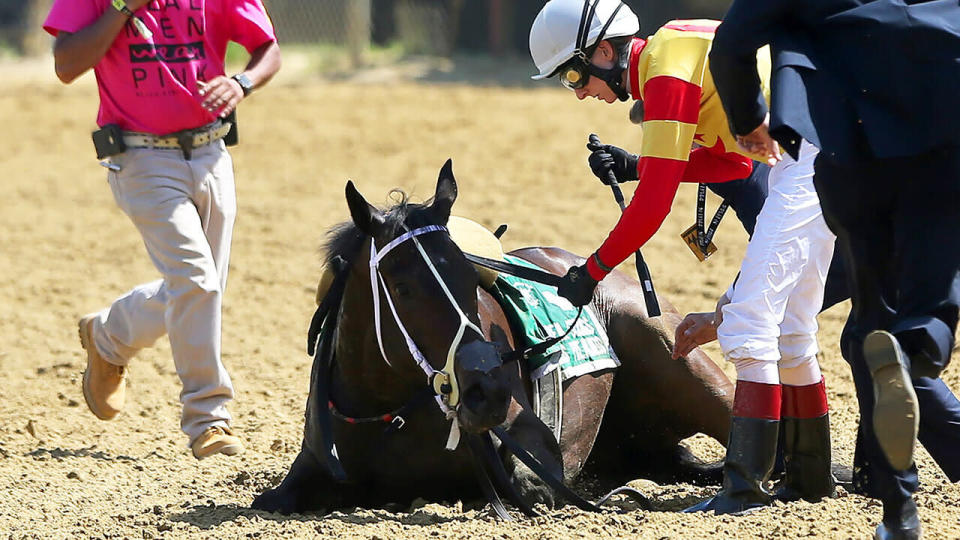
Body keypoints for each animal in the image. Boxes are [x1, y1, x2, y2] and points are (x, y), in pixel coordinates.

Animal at [251, 161, 732, 516]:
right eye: (403, 288)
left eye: (470, 276)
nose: (489, 394)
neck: (386, 411)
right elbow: (270, 500)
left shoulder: (536, 453)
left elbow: (529, 488)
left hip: (684, 364)